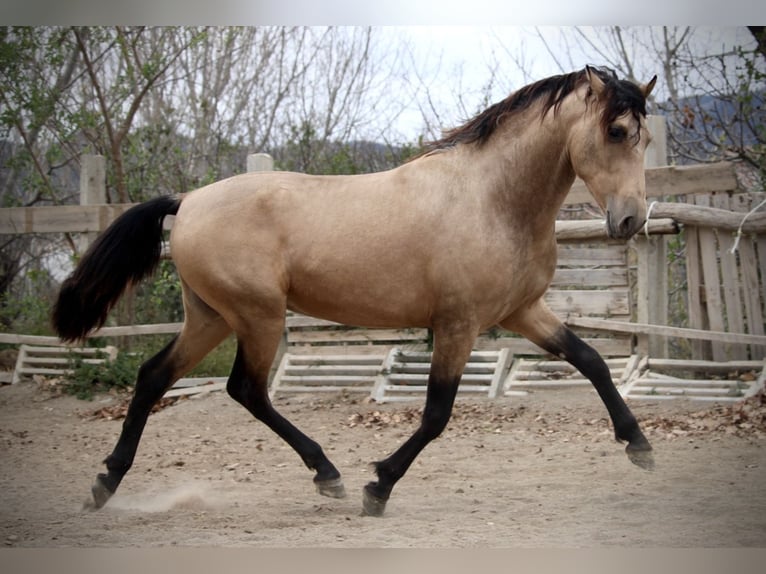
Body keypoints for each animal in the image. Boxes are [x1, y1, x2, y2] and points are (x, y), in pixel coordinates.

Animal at [52, 65, 660, 520]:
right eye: (615, 132)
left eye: (646, 138)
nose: (631, 220)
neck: (492, 199)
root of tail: (188, 201)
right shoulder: (458, 324)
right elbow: (436, 414)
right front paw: (379, 487)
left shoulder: (522, 311)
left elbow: (590, 359)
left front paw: (639, 445)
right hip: (256, 315)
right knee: (246, 389)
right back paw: (329, 475)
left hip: (212, 317)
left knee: (155, 376)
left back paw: (106, 483)